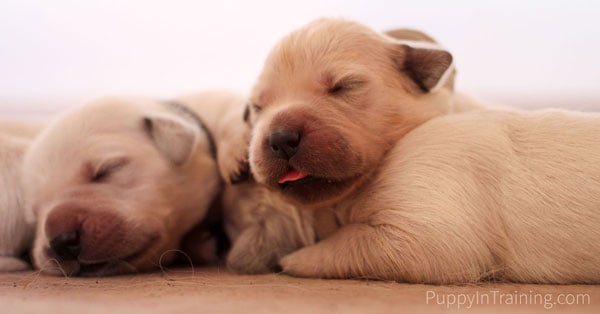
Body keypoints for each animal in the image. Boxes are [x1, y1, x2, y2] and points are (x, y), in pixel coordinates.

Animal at [244, 17, 600, 284]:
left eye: (345, 87)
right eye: (256, 107)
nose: (280, 138)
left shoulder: (424, 235)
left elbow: (342, 245)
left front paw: (290, 259)